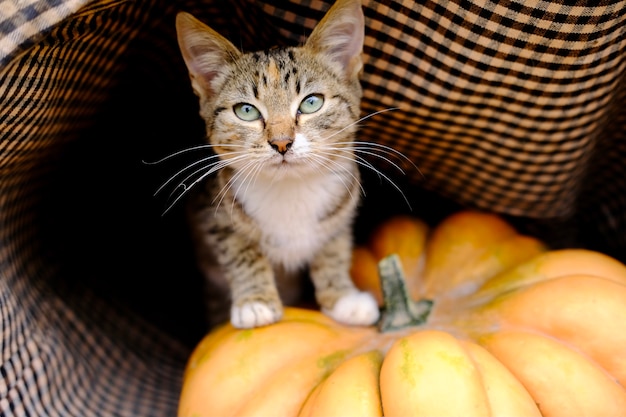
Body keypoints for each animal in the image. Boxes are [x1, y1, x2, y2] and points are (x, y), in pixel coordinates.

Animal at [173, 0, 378, 326]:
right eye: (246, 111)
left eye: (311, 102)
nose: (281, 142)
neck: (290, 187)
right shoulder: (212, 210)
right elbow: (238, 248)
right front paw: (255, 301)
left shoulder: (342, 206)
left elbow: (332, 249)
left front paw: (342, 297)